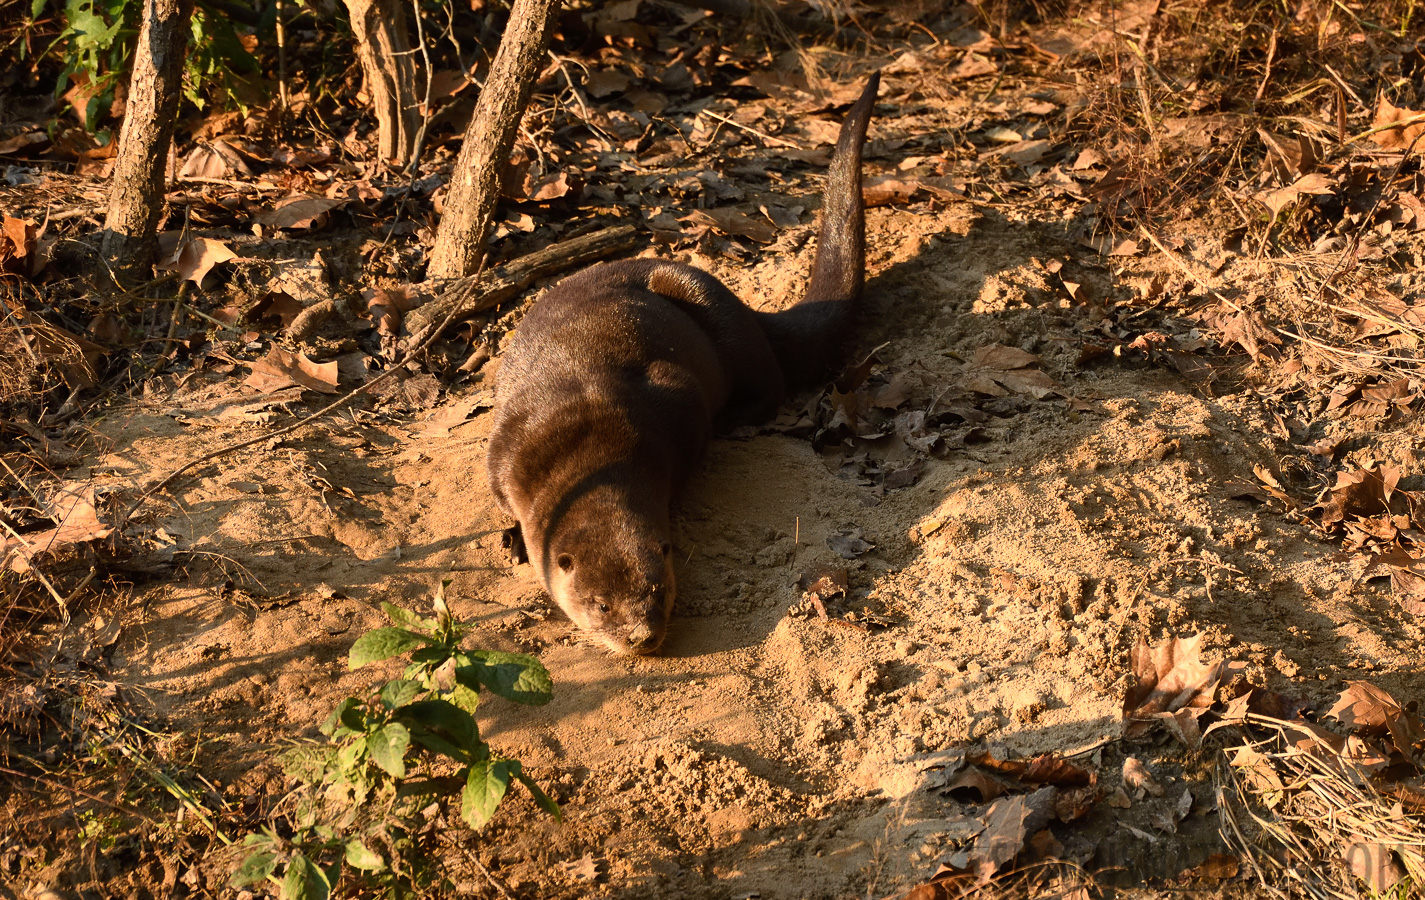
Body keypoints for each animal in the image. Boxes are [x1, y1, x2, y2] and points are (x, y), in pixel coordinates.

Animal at [490, 75, 877, 655]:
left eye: (657, 588)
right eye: (600, 605)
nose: (642, 637)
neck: (584, 445)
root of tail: (746, 308)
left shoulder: (674, 399)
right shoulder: (508, 446)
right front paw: (514, 536)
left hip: (713, 311)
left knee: (768, 380)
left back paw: (740, 418)